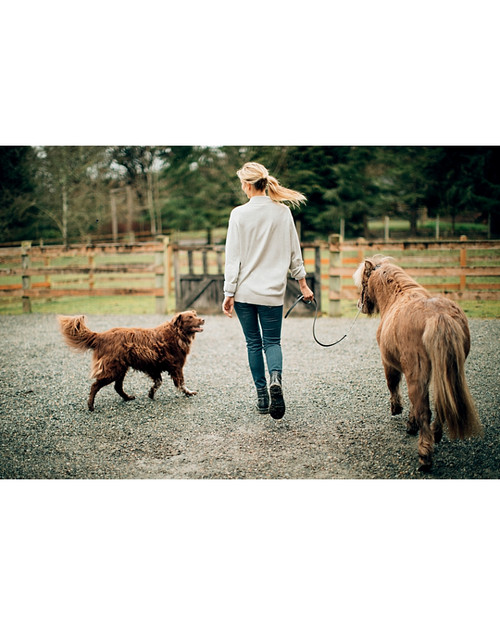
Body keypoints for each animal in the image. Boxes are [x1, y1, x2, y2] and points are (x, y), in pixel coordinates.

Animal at [59, 308, 205, 410]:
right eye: (190, 317)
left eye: (196, 315)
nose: (203, 319)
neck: (176, 333)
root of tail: (101, 336)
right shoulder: (176, 366)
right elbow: (181, 383)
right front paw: (189, 392)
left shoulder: (154, 367)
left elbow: (158, 382)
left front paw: (151, 394)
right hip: (113, 369)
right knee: (95, 385)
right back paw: (90, 406)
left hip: (121, 369)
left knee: (117, 387)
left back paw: (128, 398)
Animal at [354, 254, 482, 468]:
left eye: (364, 281)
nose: (361, 305)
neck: (396, 296)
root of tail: (439, 315)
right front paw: (410, 422)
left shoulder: (389, 364)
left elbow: (393, 385)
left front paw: (398, 410)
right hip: (444, 372)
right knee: (441, 405)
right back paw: (435, 435)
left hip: (418, 373)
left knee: (425, 410)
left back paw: (424, 455)